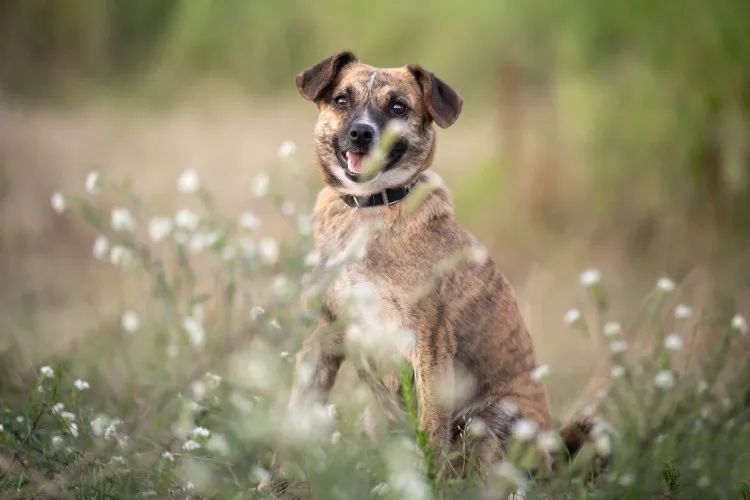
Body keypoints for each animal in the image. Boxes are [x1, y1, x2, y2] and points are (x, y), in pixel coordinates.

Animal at [280, 51, 612, 488]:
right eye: (341, 100)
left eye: (398, 107)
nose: (360, 134)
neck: (369, 210)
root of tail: (553, 454)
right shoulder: (322, 336)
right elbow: (298, 416)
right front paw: (275, 482)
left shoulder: (430, 342)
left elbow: (431, 431)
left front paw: (427, 487)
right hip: (377, 419)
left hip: (493, 419)